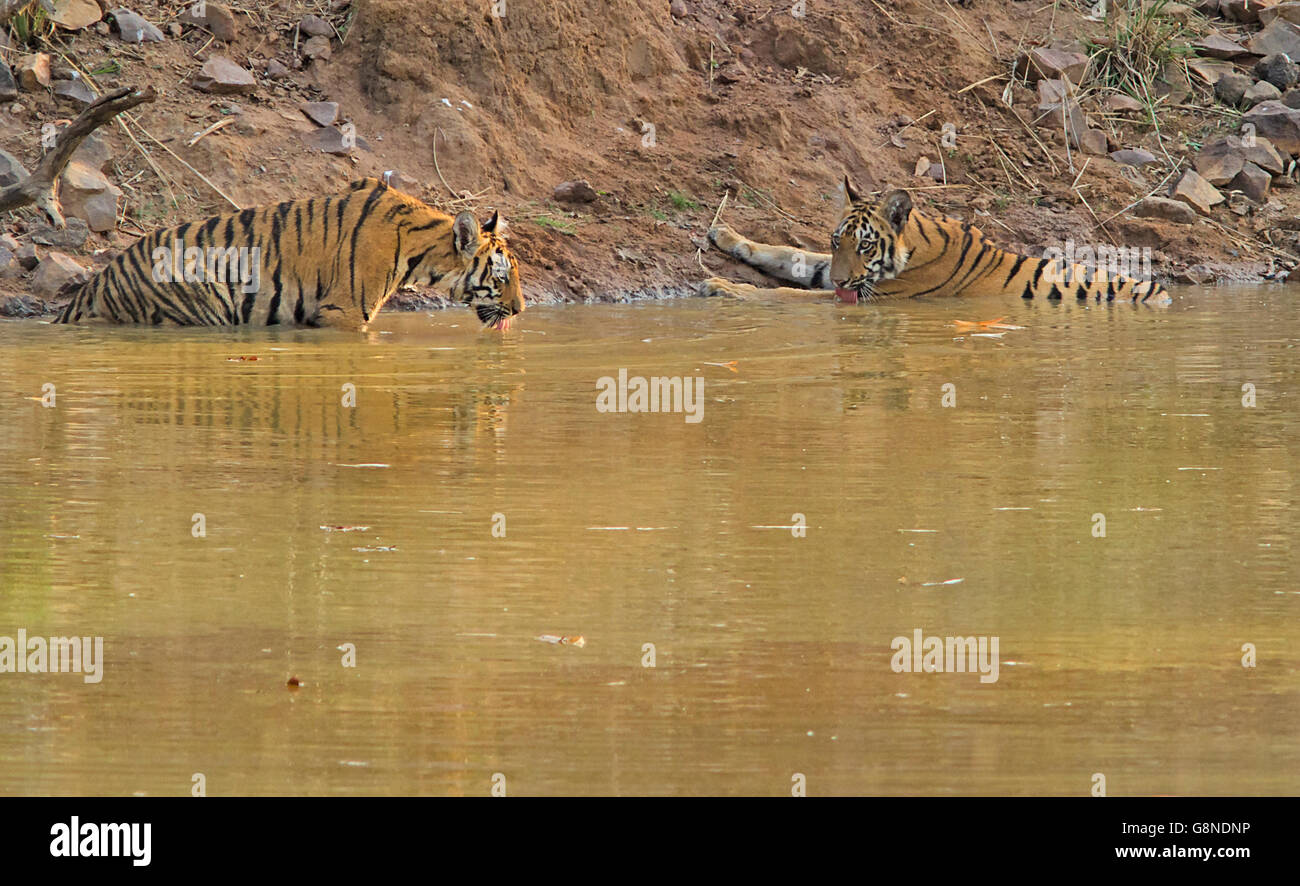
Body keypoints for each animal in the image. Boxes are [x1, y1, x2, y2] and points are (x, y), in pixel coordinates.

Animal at [700, 175, 1167, 305]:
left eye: (866, 245)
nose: (839, 281)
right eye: (836, 242)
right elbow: (790, 253)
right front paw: (727, 234)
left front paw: (722, 287)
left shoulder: (873, 294)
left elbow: (784, 295)